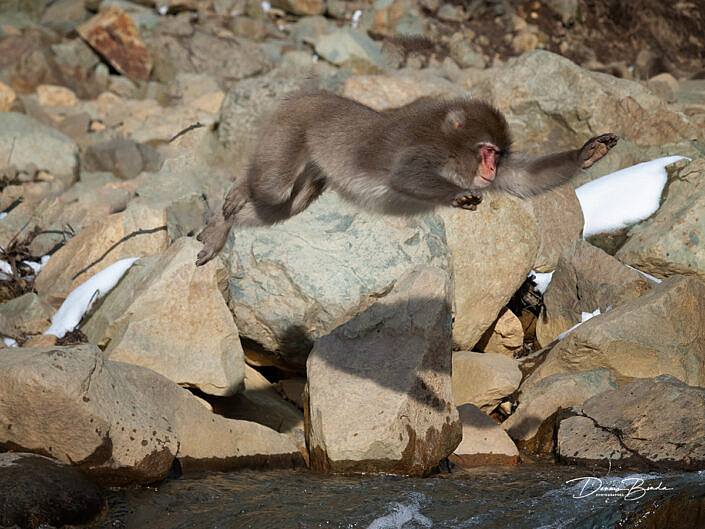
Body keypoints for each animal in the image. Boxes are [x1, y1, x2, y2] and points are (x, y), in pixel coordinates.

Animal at [194, 93, 616, 266]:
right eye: (487, 151)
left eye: (498, 155)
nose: (492, 170)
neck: (452, 147)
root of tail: (304, 96)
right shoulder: (425, 151)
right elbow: (403, 176)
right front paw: (458, 197)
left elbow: (524, 179)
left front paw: (588, 152)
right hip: (289, 131)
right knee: (272, 189)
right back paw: (237, 192)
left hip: (310, 167)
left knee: (287, 204)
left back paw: (221, 225)